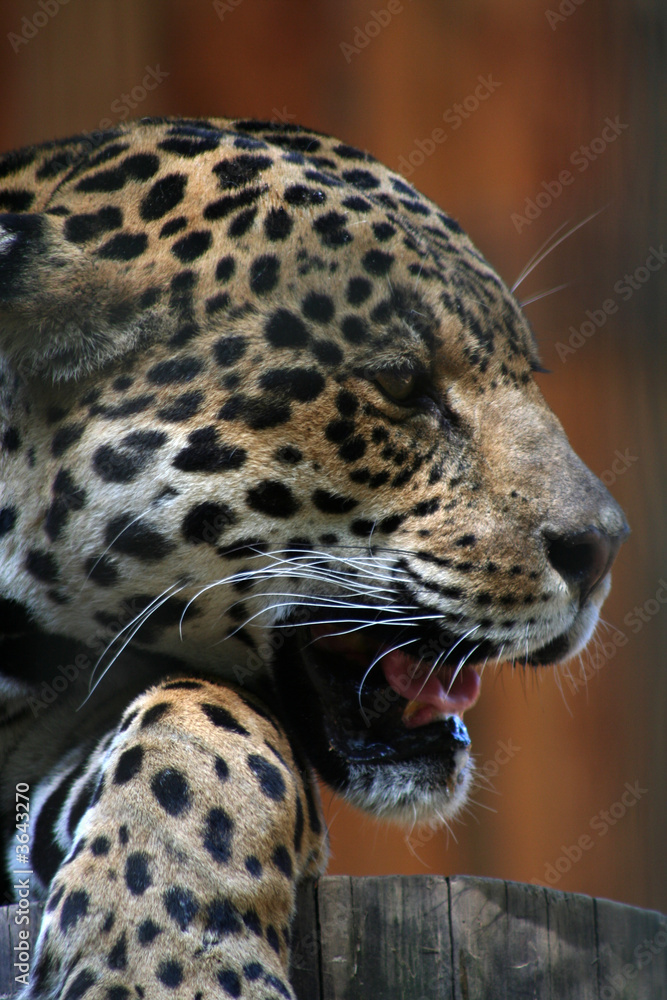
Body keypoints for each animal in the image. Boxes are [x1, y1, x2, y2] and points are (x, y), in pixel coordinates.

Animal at [0, 116, 628, 999]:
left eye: (528, 374)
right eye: (399, 384)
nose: (602, 548)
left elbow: (204, 720)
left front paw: (166, 964)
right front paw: (171, 972)